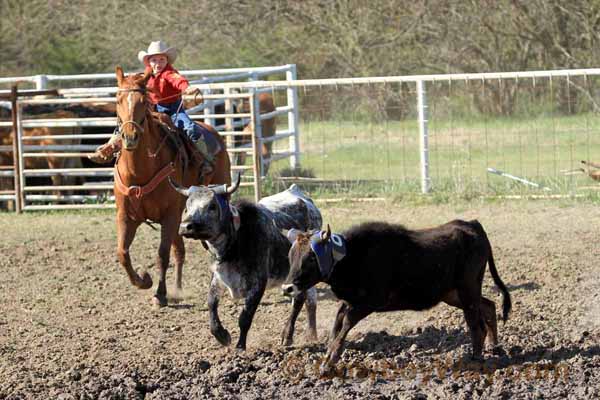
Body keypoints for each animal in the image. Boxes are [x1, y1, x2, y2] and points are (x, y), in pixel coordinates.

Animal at [113, 67, 231, 306]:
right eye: (118, 99)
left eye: (143, 101)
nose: (130, 137)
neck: (138, 171)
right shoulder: (126, 216)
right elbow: (123, 253)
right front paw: (144, 281)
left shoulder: (168, 216)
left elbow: (162, 254)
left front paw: (159, 294)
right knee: (180, 251)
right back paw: (177, 289)